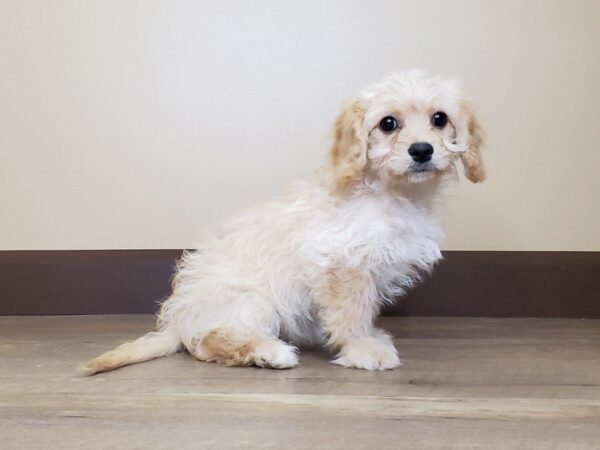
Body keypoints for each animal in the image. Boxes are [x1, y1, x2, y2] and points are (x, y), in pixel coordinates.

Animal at [78, 69, 482, 372]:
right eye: (387, 124)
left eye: (439, 119)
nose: (422, 150)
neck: (393, 193)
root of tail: (177, 320)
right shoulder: (342, 262)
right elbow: (350, 313)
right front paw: (362, 349)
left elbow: (358, 311)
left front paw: (367, 339)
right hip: (253, 301)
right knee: (208, 343)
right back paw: (267, 352)